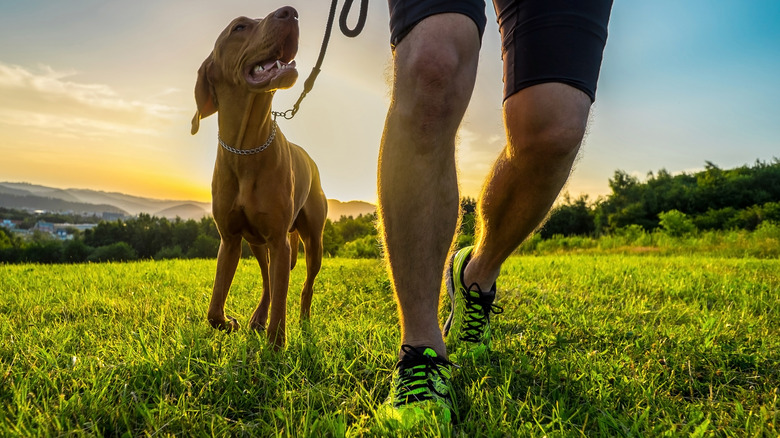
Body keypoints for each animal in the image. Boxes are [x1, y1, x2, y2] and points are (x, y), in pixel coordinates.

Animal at [190, 6, 328, 350]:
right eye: (239, 27)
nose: (290, 12)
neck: (246, 147)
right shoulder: (230, 240)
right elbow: (213, 309)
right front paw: (230, 323)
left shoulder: (279, 239)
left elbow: (281, 301)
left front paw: (276, 345)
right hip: (257, 243)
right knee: (268, 281)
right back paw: (256, 318)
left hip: (312, 241)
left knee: (304, 285)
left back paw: (303, 320)